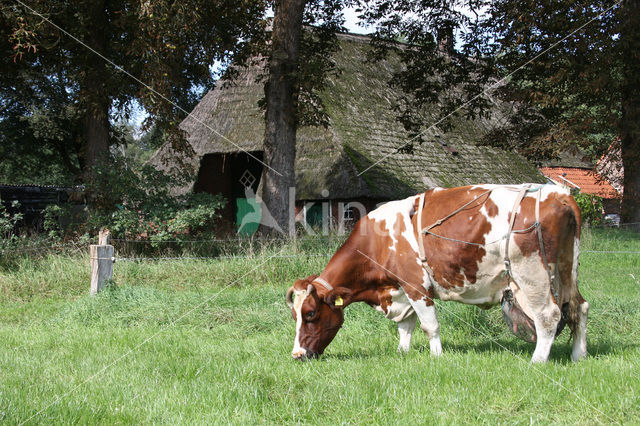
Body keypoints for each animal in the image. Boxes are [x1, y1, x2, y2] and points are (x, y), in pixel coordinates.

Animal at [286, 183, 592, 362]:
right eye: (294, 315)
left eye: (310, 314)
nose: (297, 354)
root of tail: (560, 195)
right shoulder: (401, 290)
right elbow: (405, 326)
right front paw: (402, 353)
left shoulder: (416, 285)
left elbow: (428, 325)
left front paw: (436, 356)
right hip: (567, 270)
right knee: (579, 308)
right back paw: (578, 356)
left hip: (532, 275)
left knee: (548, 316)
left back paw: (537, 361)